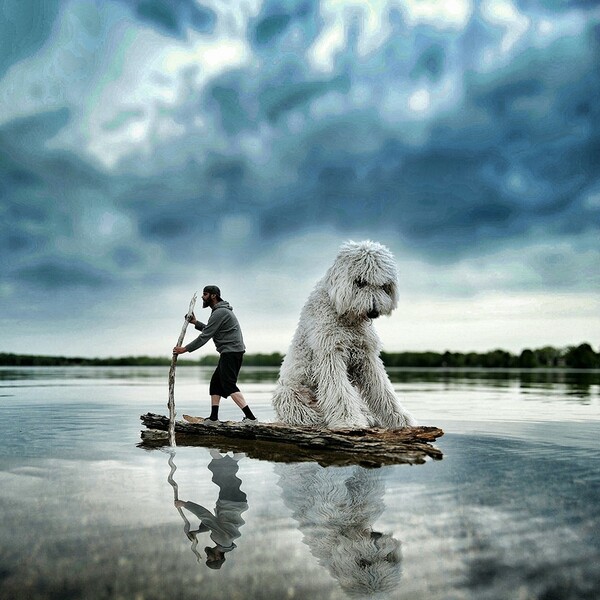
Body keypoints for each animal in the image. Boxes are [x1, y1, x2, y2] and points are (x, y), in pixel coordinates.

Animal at [274, 241, 418, 428]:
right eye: (360, 282)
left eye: (383, 285)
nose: (373, 311)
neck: (347, 318)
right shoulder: (330, 353)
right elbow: (339, 390)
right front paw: (349, 421)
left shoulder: (367, 357)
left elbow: (383, 391)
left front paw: (402, 420)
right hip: (288, 392)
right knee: (305, 413)